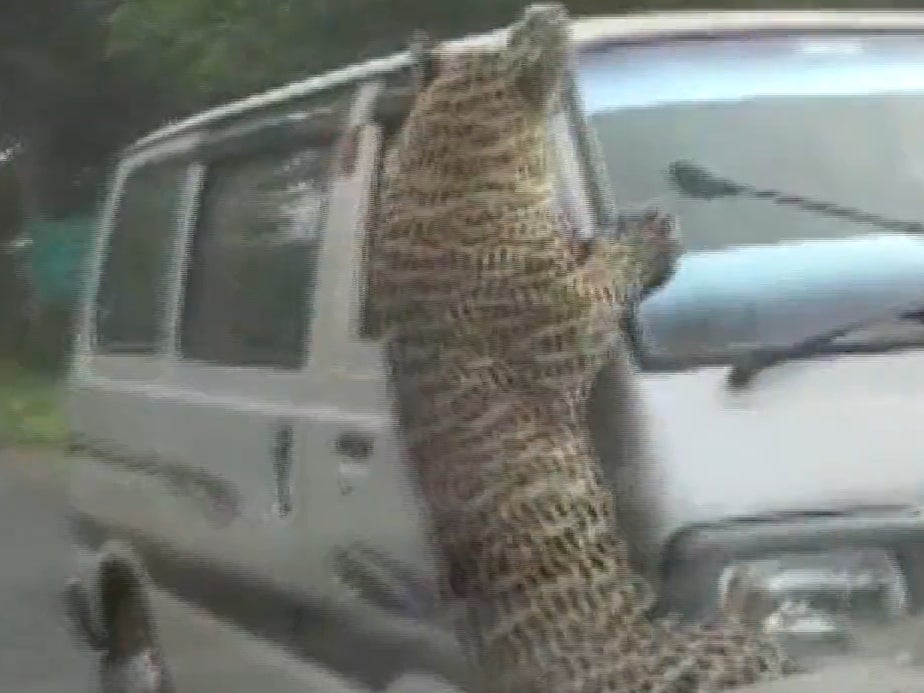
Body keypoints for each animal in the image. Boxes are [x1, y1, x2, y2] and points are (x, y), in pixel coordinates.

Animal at [371, 4, 792, 692]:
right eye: (513, 36)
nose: (545, 10)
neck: (446, 165)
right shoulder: (563, 320)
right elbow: (604, 278)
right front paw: (648, 235)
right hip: (673, 662)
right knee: (743, 652)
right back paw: (753, 606)